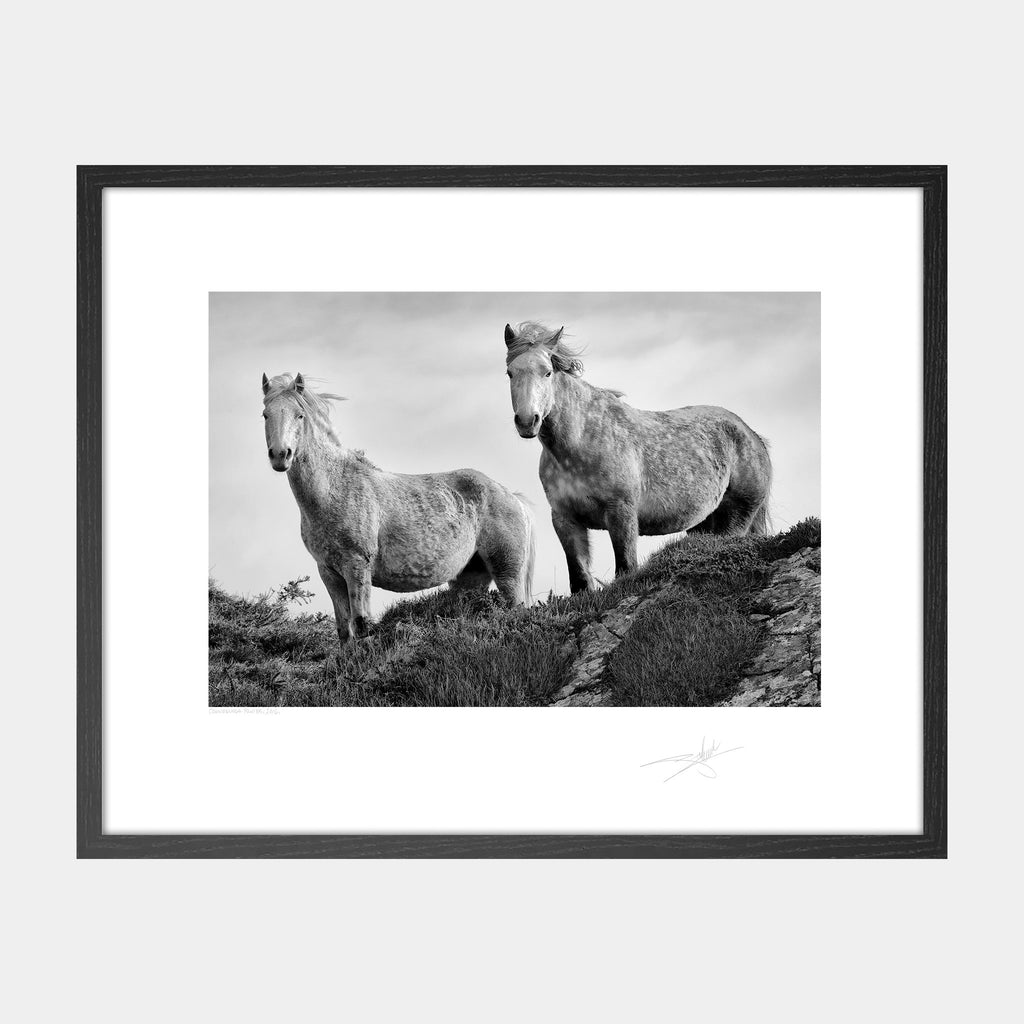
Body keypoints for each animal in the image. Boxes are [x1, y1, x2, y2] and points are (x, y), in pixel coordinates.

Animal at [262, 372, 536, 649]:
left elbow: (361, 625)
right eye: (265, 414)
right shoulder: (329, 572)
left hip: (507, 573)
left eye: (300, 415)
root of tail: (513, 498)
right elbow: (344, 631)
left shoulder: (356, 567)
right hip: (470, 577)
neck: (335, 489)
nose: (280, 455)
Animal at [503, 322, 772, 593]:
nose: (527, 421)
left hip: (738, 513)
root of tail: (752, 435)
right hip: (703, 522)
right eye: (510, 373)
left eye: (547, 372)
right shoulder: (565, 518)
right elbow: (579, 578)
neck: (581, 443)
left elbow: (626, 566)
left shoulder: (621, 512)